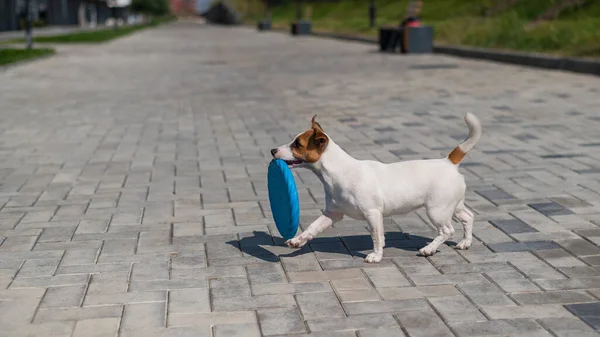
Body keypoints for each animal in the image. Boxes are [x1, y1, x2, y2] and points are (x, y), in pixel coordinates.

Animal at [272, 112, 482, 260]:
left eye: (297, 144)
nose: (273, 150)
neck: (340, 172)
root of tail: (449, 162)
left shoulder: (372, 213)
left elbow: (376, 236)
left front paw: (376, 256)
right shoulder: (332, 214)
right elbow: (312, 228)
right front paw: (297, 240)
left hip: (437, 210)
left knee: (447, 230)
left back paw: (429, 249)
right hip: (452, 206)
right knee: (468, 217)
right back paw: (465, 242)